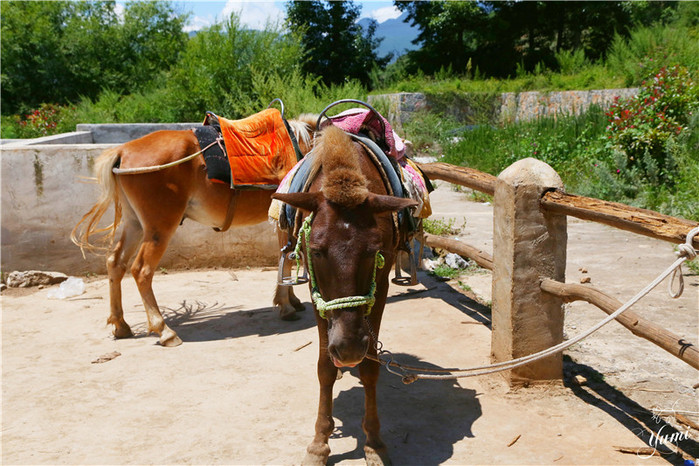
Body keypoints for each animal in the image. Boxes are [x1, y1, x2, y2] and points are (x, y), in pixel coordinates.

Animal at [73, 114, 314, 346]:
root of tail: (122, 151)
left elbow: (286, 257)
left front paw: (292, 300)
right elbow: (287, 258)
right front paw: (286, 305)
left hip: (135, 224)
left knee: (115, 263)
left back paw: (121, 324)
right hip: (159, 227)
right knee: (141, 270)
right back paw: (164, 331)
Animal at [272, 125, 416, 464]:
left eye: (374, 251)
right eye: (316, 251)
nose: (348, 349)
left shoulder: (381, 287)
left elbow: (371, 366)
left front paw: (374, 443)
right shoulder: (316, 293)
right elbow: (324, 366)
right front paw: (319, 443)